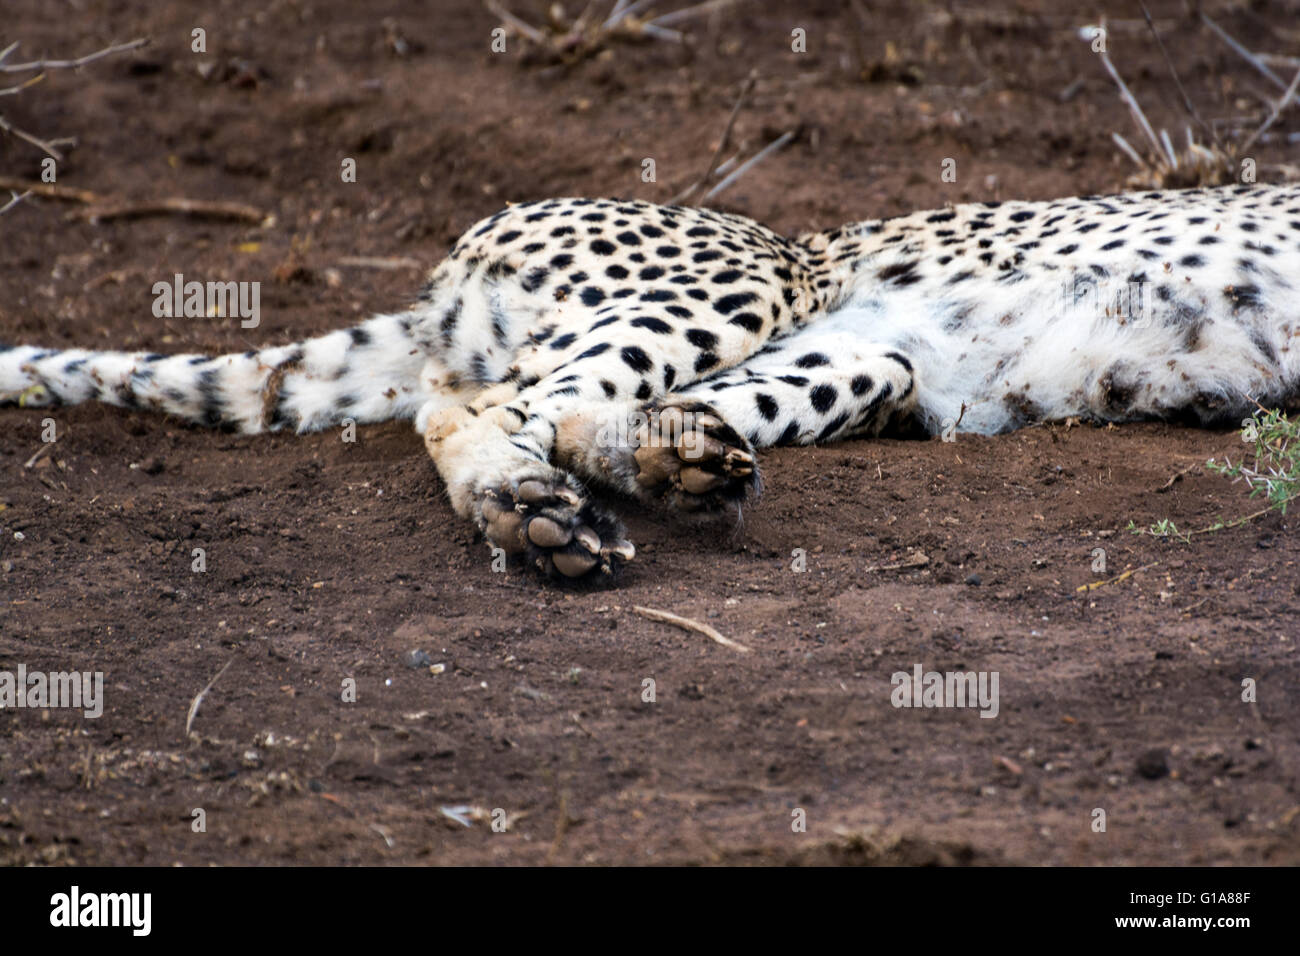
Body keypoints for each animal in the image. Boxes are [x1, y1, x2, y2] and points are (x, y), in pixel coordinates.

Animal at [4, 181, 1300, 581]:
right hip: (749, 276)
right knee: (481, 402)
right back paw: (532, 515)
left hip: (875, 357)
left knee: (578, 410)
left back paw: (646, 476)